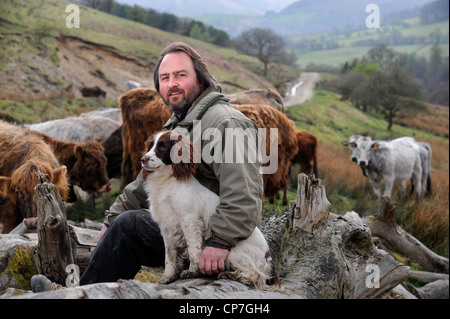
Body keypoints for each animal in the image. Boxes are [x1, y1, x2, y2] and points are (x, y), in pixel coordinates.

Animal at [141, 131, 282, 290]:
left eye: (163, 147)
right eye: (150, 146)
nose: (142, 160)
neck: (167, 183)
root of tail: (268, 257)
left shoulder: (190, 220)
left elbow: (193, 249)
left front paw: (192, 271)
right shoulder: (166, 226)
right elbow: (170, 256)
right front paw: (167, 277)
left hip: (233, 253)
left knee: (256, 275)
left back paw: (231, 275)